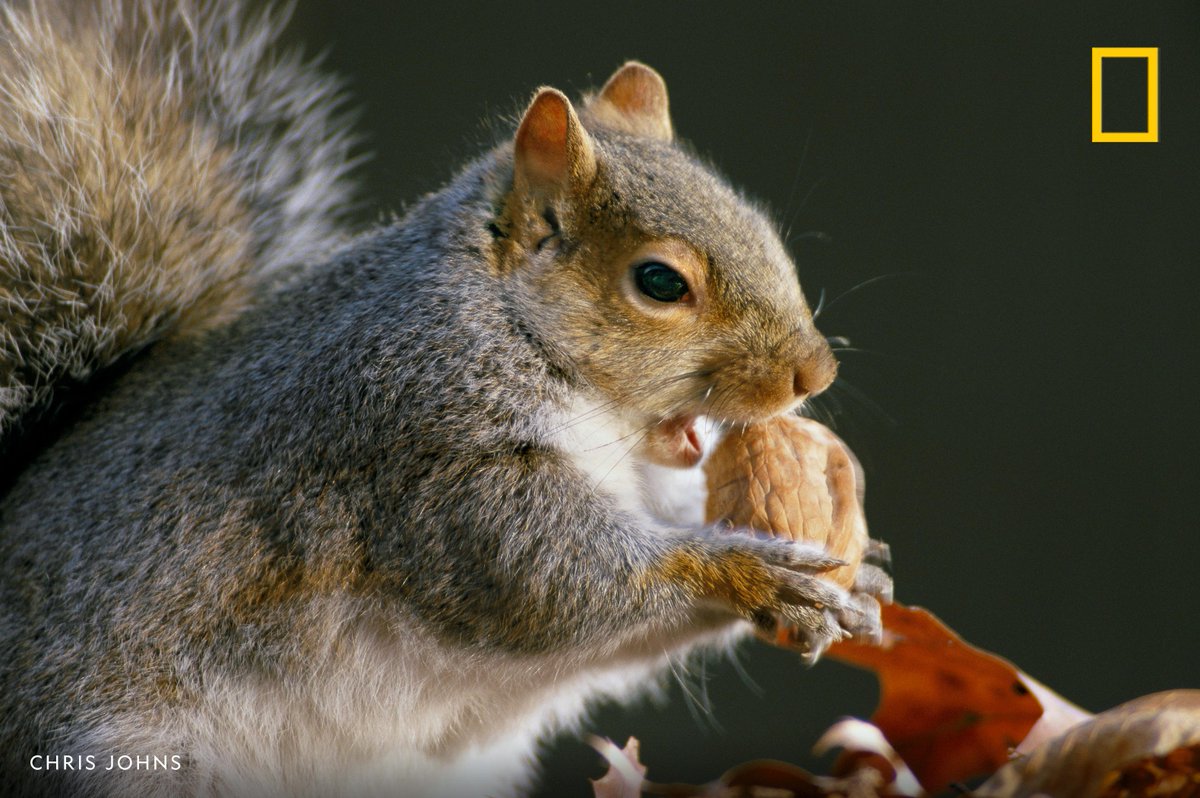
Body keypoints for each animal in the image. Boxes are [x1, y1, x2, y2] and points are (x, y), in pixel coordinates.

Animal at [0, 1, 891, 796]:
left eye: (762, 228)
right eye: (660, 283)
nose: (815, 374)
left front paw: (856, 575)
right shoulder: (423, 445)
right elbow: (546, 575)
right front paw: (748, 571)